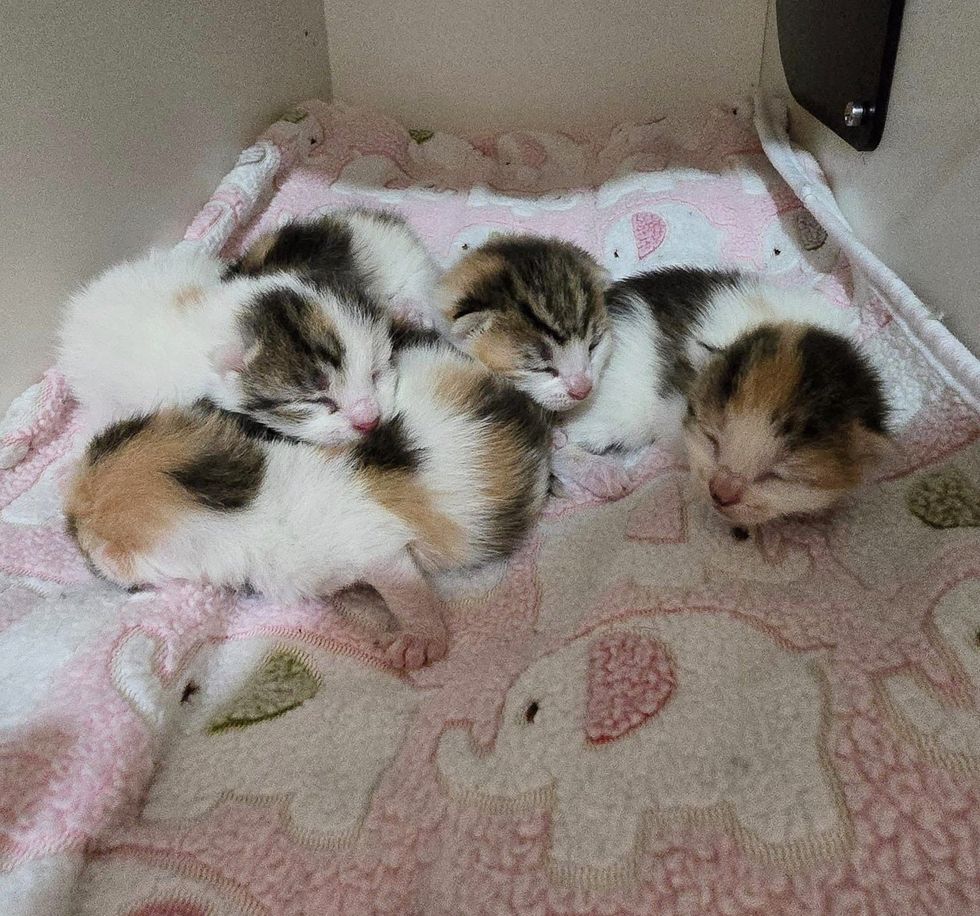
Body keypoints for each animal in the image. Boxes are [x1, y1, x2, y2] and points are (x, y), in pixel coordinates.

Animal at [63, 340, 552, 668]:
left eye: (84, 538)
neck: (248, 490)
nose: (66, 522)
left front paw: (417, 640)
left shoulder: (375, 548)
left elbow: (406, 588)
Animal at [552, 264, 888, 524]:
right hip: (614, 409)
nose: (722, 493)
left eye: (778, 476)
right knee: (561, 444)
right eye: (712, 441)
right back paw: (603, 474)